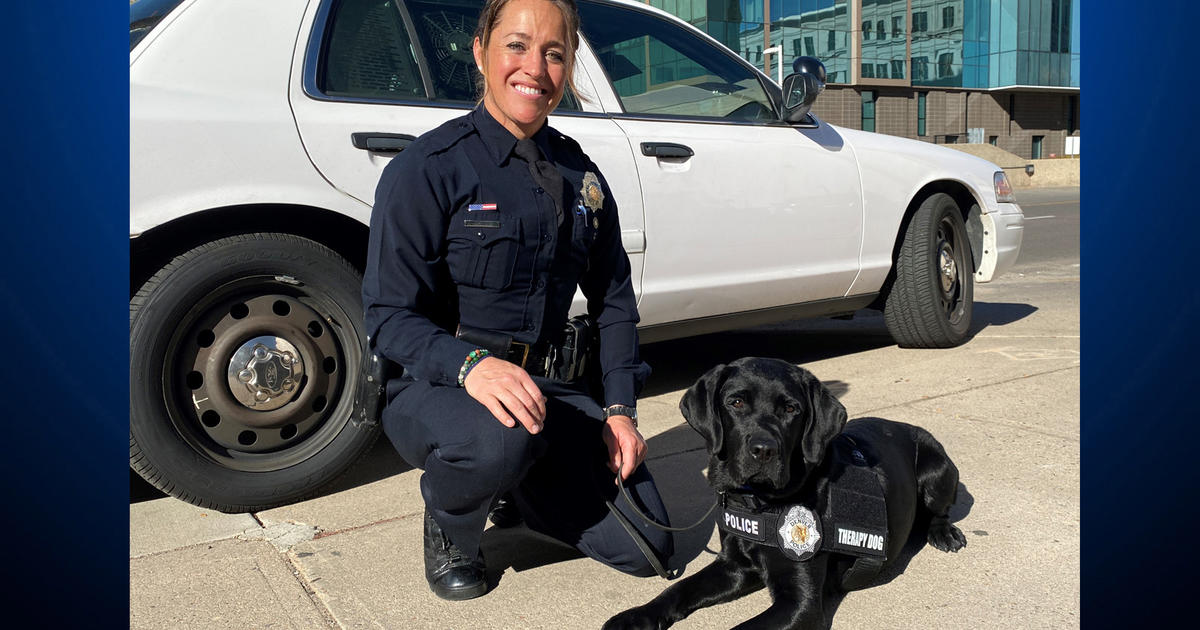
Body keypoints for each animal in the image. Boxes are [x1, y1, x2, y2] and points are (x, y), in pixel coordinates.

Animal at [609, 355, 964, 624]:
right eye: (736, 402)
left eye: (791, 409)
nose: (763, 450)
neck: (757, 502)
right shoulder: (733, 566)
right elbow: (679, 588)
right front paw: (635, 616)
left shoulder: (800, 604)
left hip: (936, 469)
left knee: (940, 510)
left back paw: (944, 533)